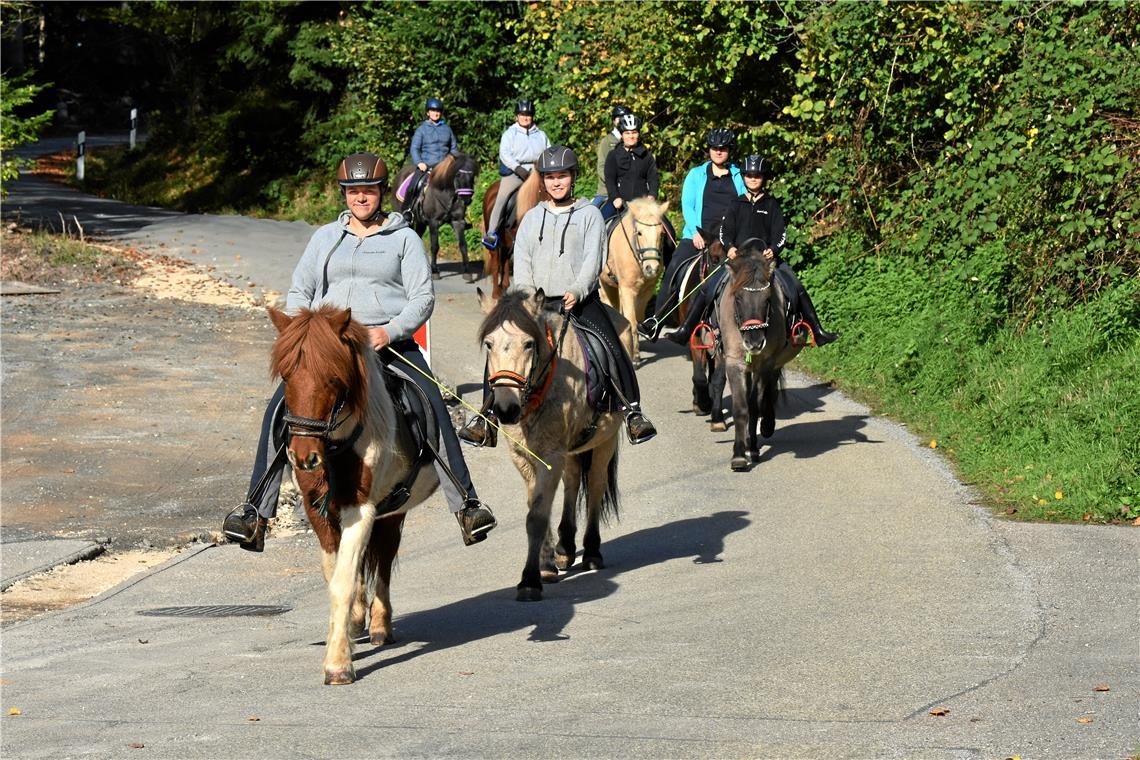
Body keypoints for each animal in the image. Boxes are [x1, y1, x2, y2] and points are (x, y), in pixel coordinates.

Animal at [269, 305, 437, 688]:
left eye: (333, 378)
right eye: (286, 375)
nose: (304, 457)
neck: (338, 448)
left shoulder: (361, 510)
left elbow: (343, 581)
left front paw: (337, 664)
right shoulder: (318, 511)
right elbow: (335, 574)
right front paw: (343, 637)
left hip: (393, 512)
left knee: (384, 561)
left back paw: (379, 625)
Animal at [476, 288, 629, 601]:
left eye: (528, 344)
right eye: (488, 343)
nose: (506, 409)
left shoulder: (551, 455)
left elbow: (536, 516)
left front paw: (530, 581)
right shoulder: (524, 456)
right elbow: (537, 507)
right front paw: (546, 565)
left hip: (604, 440)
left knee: (595, 486)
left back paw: (591, 552)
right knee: (573, 481)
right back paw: (565, 548)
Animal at [601, 194, 670, 364]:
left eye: (662, 234)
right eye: (639, 233)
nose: (652, 268)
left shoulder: (647, 290)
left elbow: (637, 319)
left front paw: (636, 353)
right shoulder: (627, 289)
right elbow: (631, 322)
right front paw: (634, 358)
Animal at [715, 242, 807, 469]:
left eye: (767, 299)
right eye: (738, 298)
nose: (755, 343)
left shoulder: (764, 364)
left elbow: (755, 406)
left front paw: (754, 448)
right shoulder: (734, 364)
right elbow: (741, 408)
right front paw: (739, 455)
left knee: (770, 391)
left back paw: (766, 426)